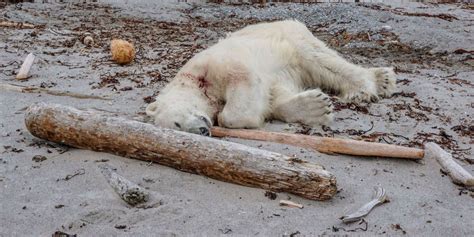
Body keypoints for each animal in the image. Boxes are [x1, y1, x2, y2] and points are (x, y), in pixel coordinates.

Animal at [145, 19, 396, 135]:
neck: (195, 82)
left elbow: (241, 83)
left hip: (291, 38)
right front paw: (315, 107)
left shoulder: (214, 64)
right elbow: (274, 96)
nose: (202, 130)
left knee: (322, 60)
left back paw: (369, 85)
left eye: (177, 123)